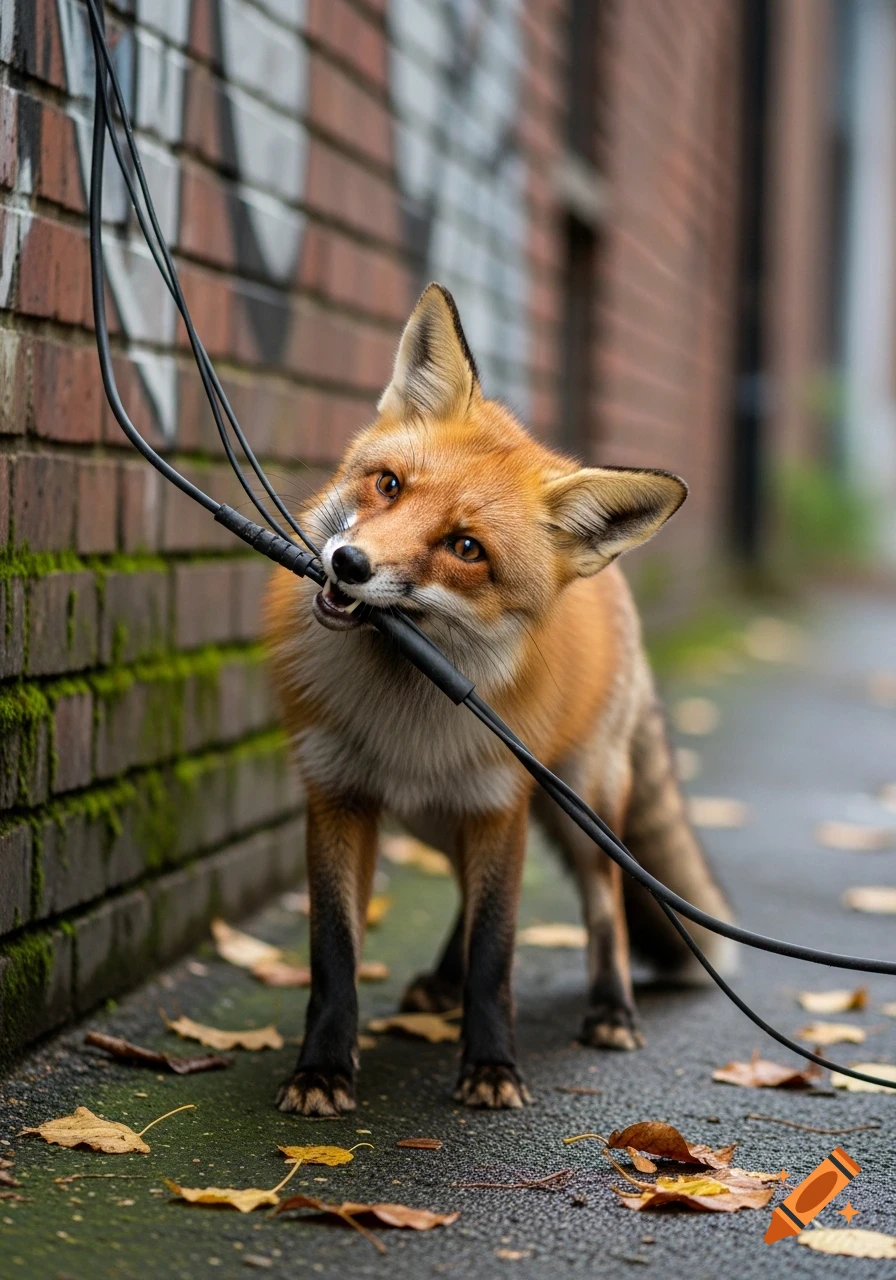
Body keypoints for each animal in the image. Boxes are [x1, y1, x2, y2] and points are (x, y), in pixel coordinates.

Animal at [264, 283, 735, 1115]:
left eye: (465, 549)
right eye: (388, 484)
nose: (348, 564)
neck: (403, 709)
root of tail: (611, 582)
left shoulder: (498, 802)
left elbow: (497, 950)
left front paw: (490, 1066)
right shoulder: (338, 795)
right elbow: (334, 953)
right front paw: (321, 1070)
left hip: (579, 803)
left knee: (607, 904)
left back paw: (612, 1010)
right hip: (430, 820)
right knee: (461, 892)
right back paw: (438, 983)